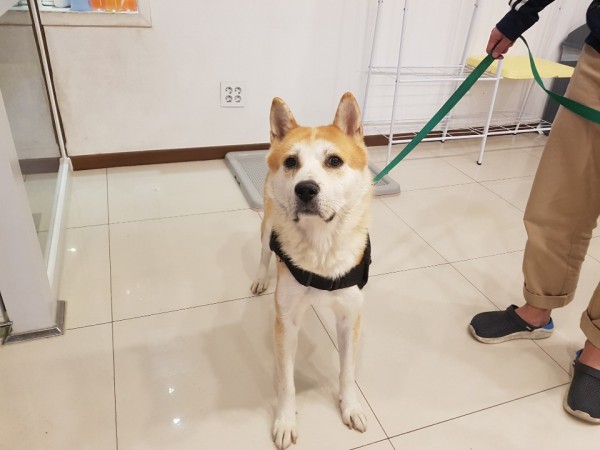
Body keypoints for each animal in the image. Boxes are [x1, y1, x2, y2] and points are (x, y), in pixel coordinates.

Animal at [251, 92, 373, 449]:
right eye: (292, 162)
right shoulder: (286, 322)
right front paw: (285, 420)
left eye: (334, 161)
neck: (321, 245)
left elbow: (347, 372)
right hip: (268, 226)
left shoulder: (349, 316)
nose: (305, 189)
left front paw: (351, 407)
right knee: (264, 253)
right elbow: (286, 381)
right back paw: (261, 278)